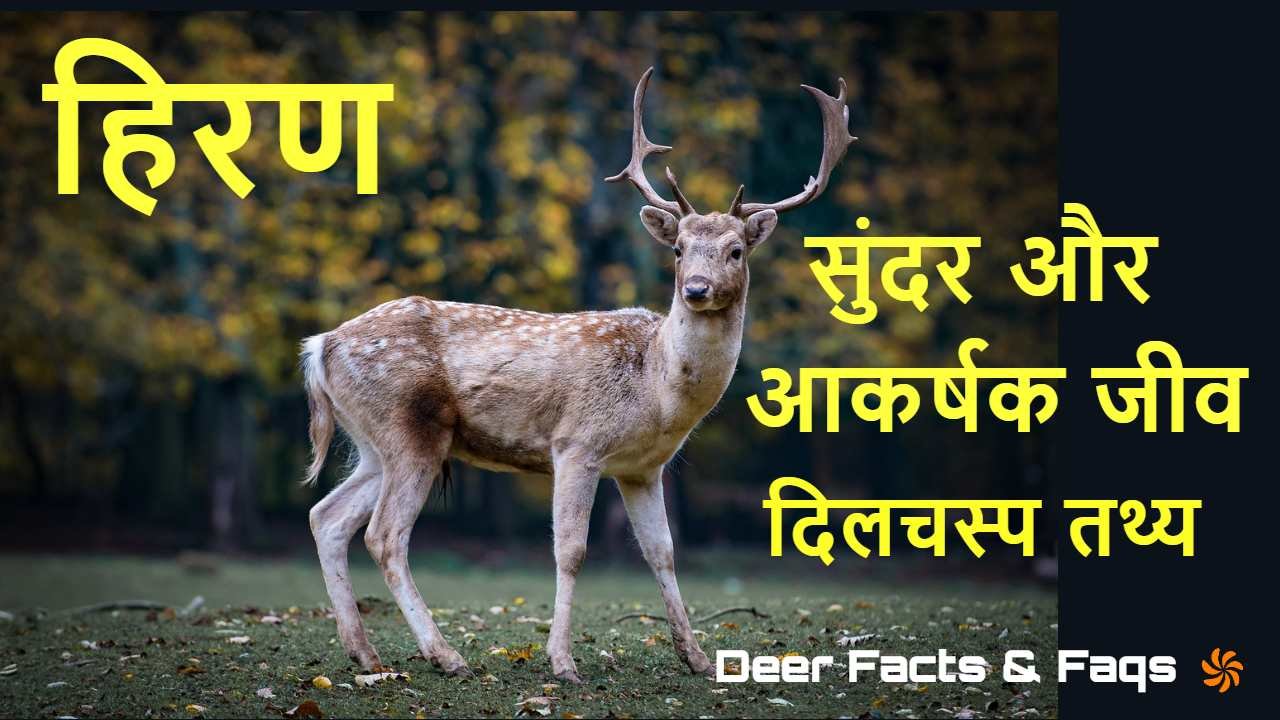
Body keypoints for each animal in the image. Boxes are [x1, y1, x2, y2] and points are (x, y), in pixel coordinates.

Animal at [300, 67, 856, 683]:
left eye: (736, 250)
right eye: (679, 249)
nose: (696, 289)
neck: (656, 390)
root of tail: (320, 346)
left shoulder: (642, 468)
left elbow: (663, 552)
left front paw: (698, 658)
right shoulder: (576, 444)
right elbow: (571, 551)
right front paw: (562, 662)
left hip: (373, 441)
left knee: (326, 516)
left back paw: (365, 653)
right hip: (409, 428)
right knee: (384, 535)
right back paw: (446, 655)